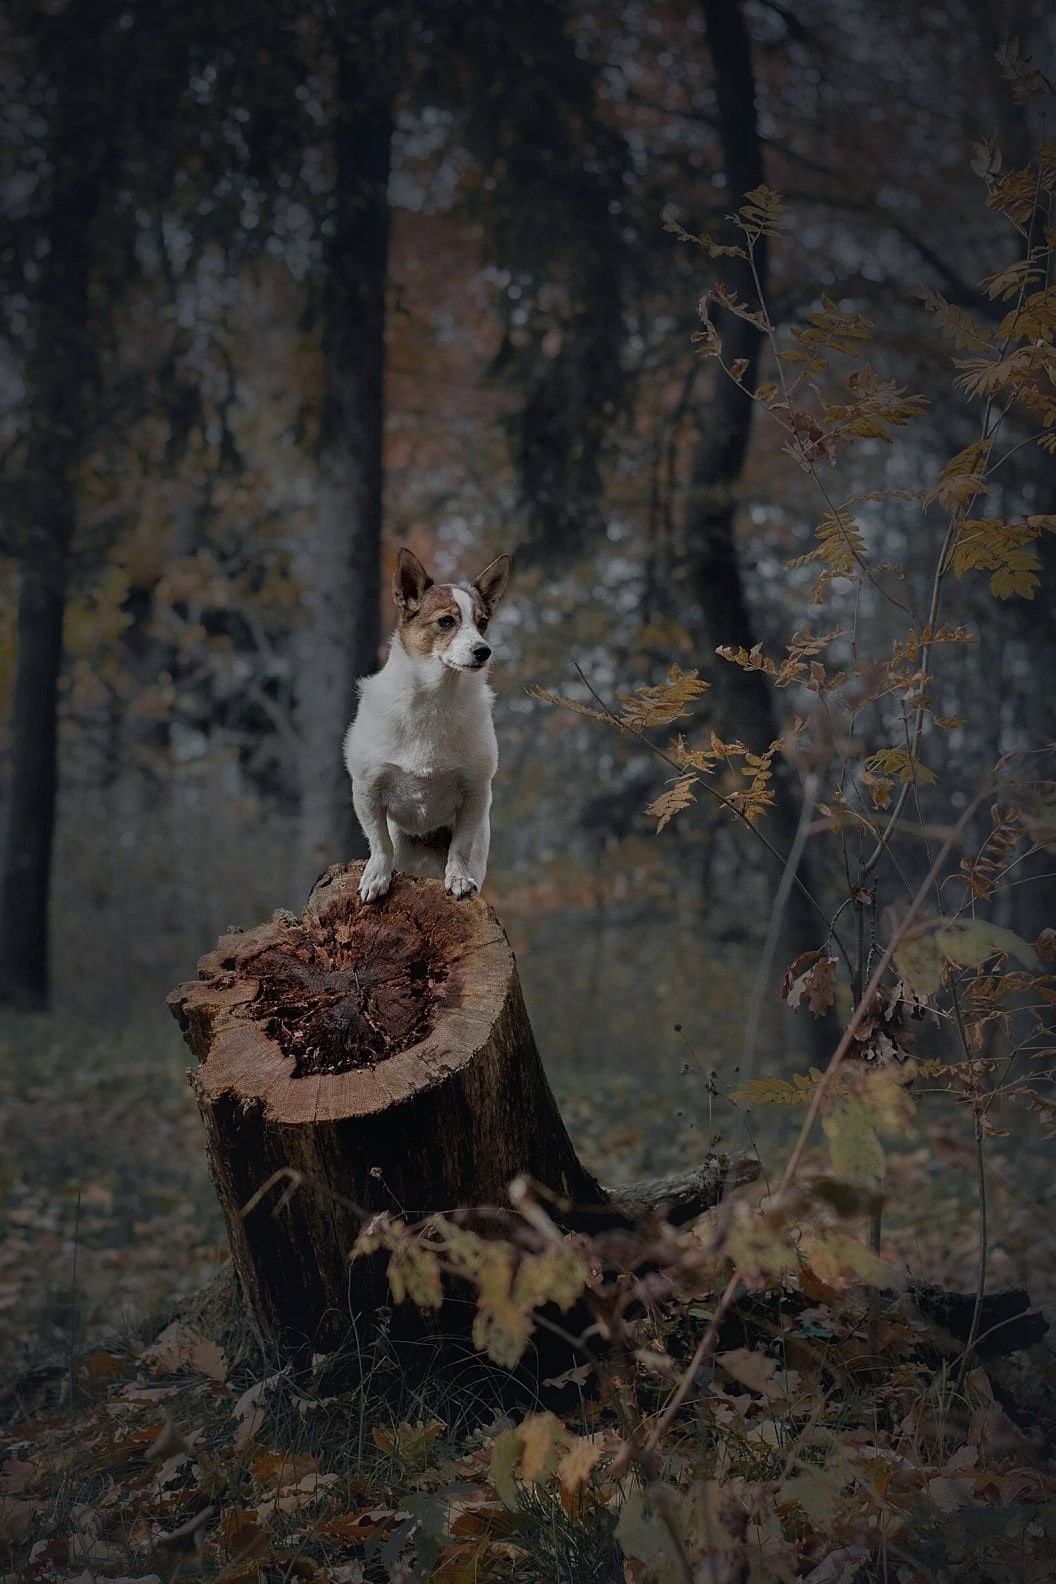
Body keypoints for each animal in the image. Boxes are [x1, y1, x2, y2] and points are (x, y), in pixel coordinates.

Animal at [343, 548, 512, 906]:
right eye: (446, 621)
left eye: (483, 623)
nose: (484, 650)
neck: (436, 698)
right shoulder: (367, 789)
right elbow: (379, 843)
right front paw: (376, 878)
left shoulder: (475, 794)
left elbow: (460, 846)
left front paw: (458, 879)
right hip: (403, 844)